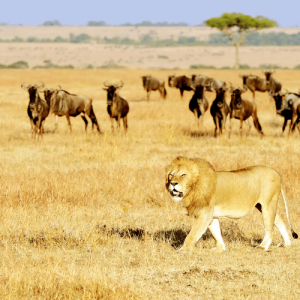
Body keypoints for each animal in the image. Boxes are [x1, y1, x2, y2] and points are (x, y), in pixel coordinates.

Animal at [165, 156, 298, 252]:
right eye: (171, 175)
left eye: (183, 175)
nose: (173, 183)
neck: (194, 187)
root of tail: (276, 172)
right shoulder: (211, 215)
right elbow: (216, 232)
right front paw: (220, 248)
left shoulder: (204, 213)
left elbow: (192, 234)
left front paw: (183, 250)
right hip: (263, 206)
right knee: (279, 220)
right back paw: (287, 243)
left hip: (268, 204)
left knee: (269, 229)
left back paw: (263, 247)